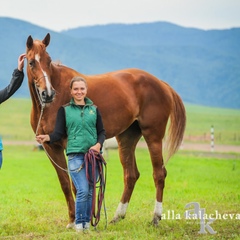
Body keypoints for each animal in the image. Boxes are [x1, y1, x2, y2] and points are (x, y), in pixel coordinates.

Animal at [25, 33, 186, 227]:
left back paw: (155, 217)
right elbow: (65, 184)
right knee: (131, 175)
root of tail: (161, 84)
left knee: (159, 174)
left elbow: (76, 185)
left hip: (153, 136)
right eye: (31, 62)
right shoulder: (51, 147)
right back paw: (118, 216)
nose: (48, 94)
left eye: (48, 61)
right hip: (127, 138)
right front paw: (72, 220)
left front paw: (81, 221)